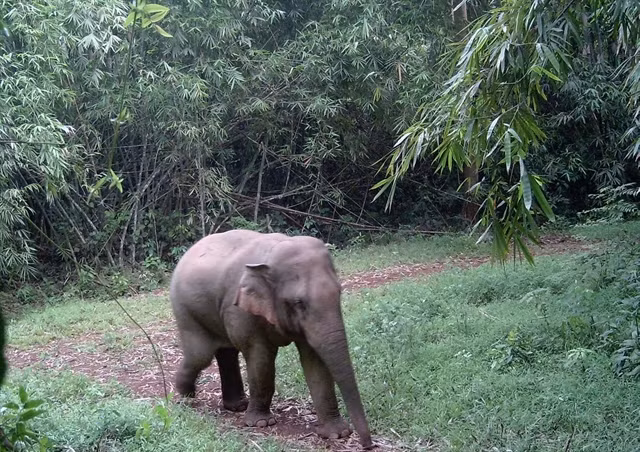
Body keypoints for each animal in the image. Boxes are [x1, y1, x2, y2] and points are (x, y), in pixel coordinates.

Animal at [169, 229, 373, 449]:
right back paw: (186, 398)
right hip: (185, 310)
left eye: (339, 292)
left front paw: (337, 433)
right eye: (299, 303)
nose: (368, 445)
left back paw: (236, 405)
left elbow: (315, 362)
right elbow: (261, 359)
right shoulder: (240, 310)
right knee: (201, 355)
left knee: (225, 352)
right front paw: (260, 423)